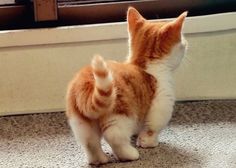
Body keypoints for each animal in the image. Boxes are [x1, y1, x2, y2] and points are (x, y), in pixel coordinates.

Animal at [65, 7, 187, 165]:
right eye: (183, 43)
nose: (186, 44)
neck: (146, 65)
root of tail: (87, 80)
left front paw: (137, 136)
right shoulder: (161, 106)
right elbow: (152, 128)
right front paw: (148, 142)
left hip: (81, 122)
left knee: (89, 142)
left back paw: (99, 159)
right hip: (120, 115)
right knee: (114, 136)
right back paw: (129, 154)